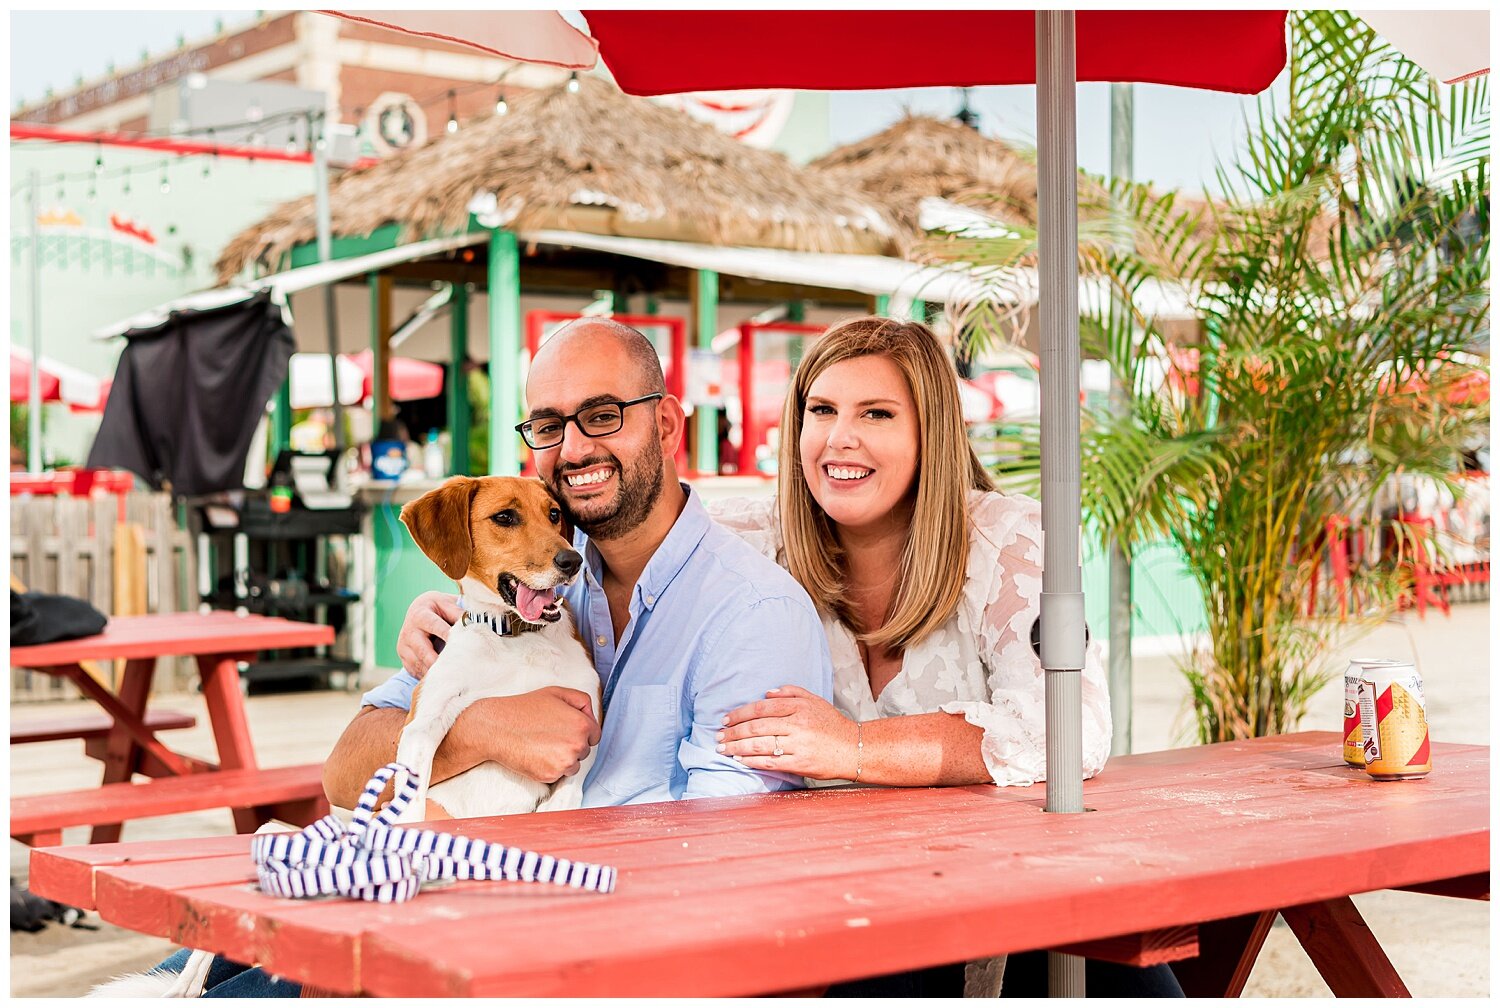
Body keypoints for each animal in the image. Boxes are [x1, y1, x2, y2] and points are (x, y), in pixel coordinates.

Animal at [396, 477, 600, 822]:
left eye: (554, 514)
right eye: (504, 517)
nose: (573, 560)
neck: (516, 636)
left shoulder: (590, 712)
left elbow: (568, 792)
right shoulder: (422, 724)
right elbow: (409, 805)